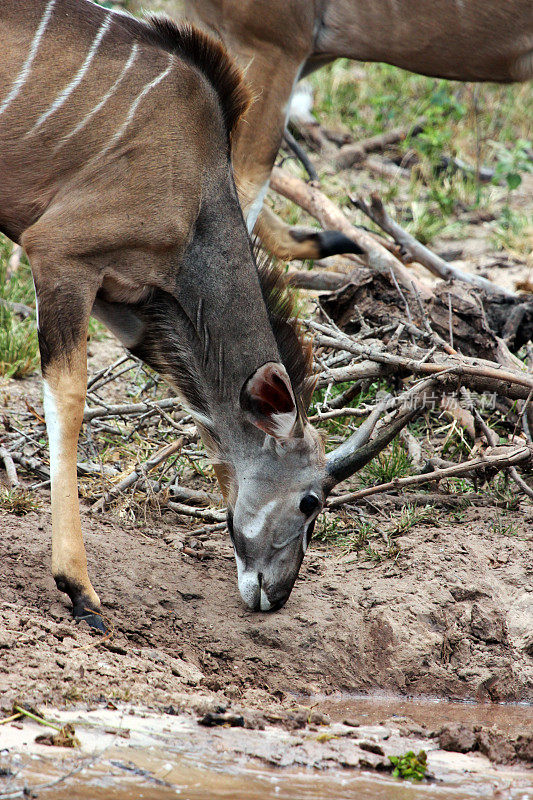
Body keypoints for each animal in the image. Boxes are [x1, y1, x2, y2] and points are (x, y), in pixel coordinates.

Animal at [1, 0, 366, 624]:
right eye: (310, 501)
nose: (276, 594)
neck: (195, 188)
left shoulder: (134, 308)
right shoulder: (60, 254)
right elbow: (67, 401)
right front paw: (78, 585)